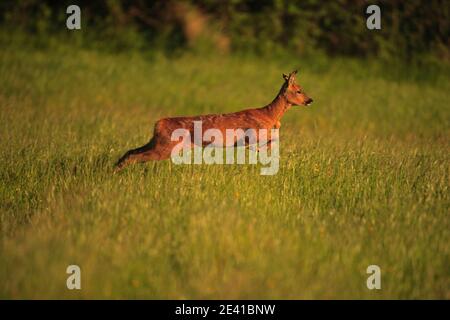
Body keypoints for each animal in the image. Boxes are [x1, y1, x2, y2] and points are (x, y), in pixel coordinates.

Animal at [114, 69, 312, 172]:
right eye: (299, 90)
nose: (310, 100)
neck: (270, 115)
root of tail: (158, 124)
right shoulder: (252, 134)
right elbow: (272, 139)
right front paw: (261, 150)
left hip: (157, 143)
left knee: (130, 151)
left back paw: (114, 168)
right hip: (165, 147)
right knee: (134, 156)